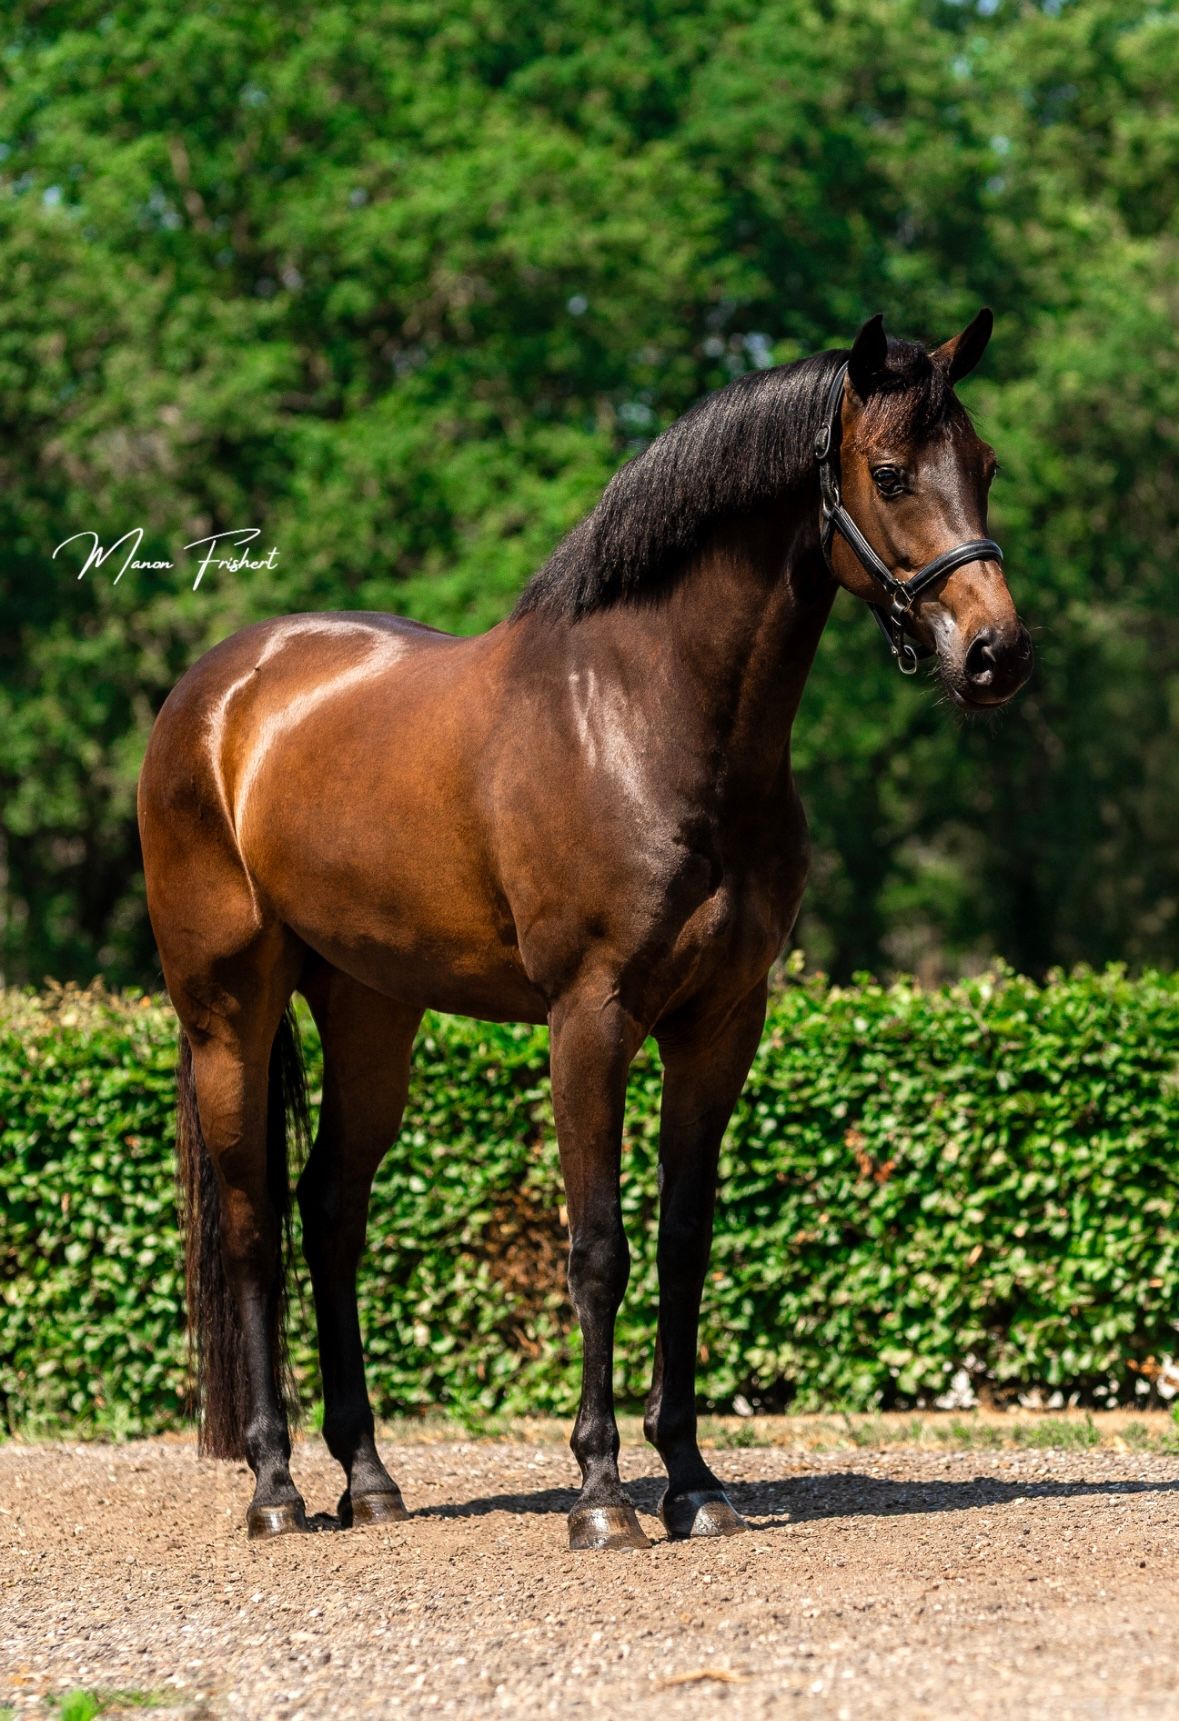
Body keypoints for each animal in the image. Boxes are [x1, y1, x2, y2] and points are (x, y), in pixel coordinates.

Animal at [138, 309, 1033, 1550]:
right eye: (892, 472)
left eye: (985, 465)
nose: (995, 654)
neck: (644, 716)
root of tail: (216, 695)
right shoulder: (591, 1016)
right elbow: (598, 1246)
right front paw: (603, 1493)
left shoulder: (721, 1022)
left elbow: (683, 1241)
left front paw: (694, 1480)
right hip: (230, 1011)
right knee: (251, 1227)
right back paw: (275, 1488)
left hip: (370, 1015)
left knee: (329, 1211)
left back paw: (369, 1478)